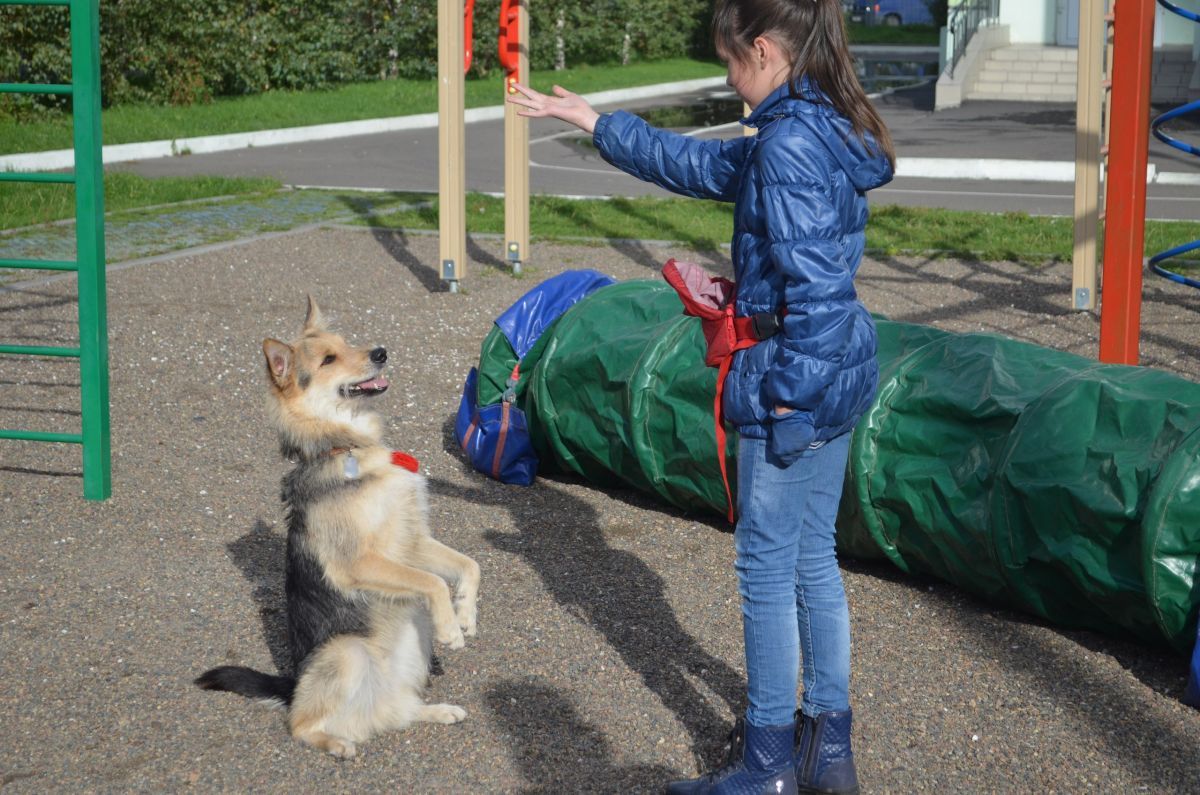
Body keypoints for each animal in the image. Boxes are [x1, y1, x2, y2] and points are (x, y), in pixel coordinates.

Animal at [195, 297, 477, 758]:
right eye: (328, 360)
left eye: (348, 343)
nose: (380, 352)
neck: (347, 447)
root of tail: (293, 685)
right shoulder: (361, 562)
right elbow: (432, 582)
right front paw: (451, 626)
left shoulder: (413, 541)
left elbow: (469, 564)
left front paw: (466, 611)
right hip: (347, 653)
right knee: (301, 723)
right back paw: (335, 743)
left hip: (413, 646)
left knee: (396, 712)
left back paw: (437, 711)